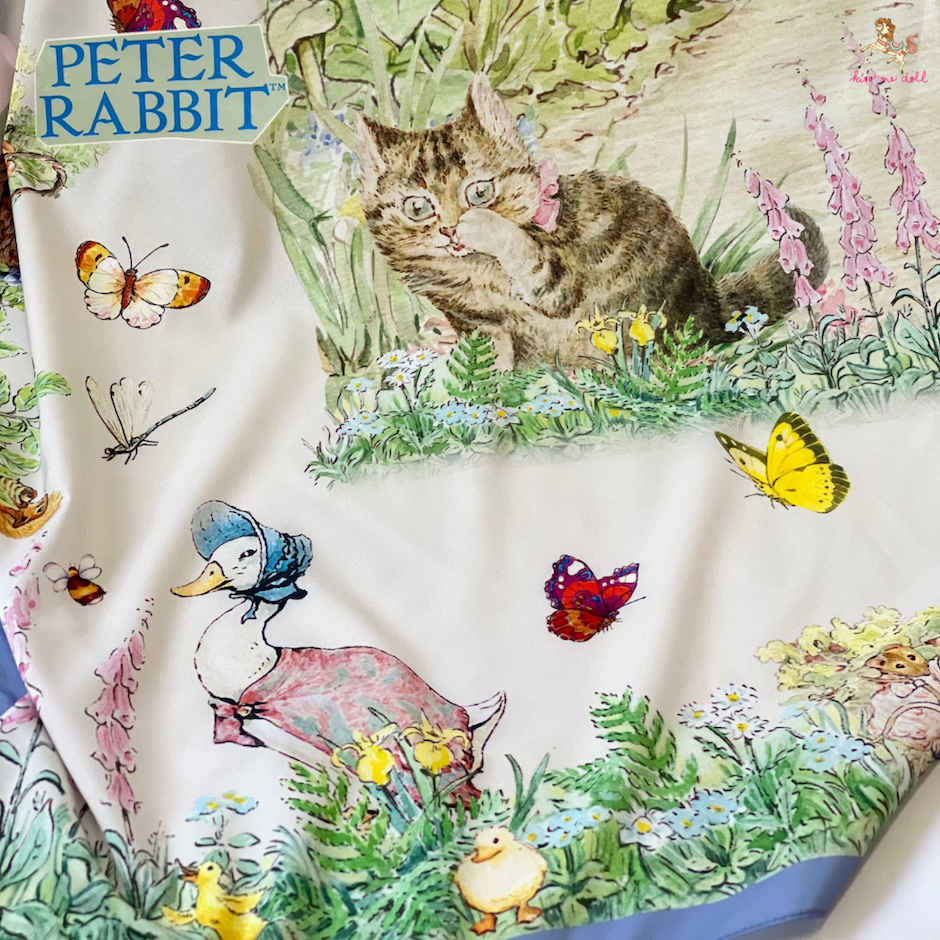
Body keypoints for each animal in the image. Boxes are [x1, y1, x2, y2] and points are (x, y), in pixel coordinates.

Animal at [356, 73, 829, 371]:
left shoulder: (562, 278)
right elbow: (493, 358)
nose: (451, 229)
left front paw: (486, 227)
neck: (475, 274)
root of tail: (709, 301)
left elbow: (529, 258)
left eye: (479, 192)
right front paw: (491, 400)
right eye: (418, 208)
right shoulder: (477, 323)